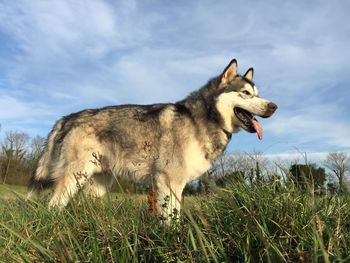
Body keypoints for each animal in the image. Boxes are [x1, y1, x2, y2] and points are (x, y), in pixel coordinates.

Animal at [27, 59, 278, 221]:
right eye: (246, 93)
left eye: (257, 94)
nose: (274, 106)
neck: (204, 118)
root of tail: (66, 118)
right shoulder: (169, 182)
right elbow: (171, 221)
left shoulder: (174, 185)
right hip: (74, 179)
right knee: (53, 207)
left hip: (97, 184)